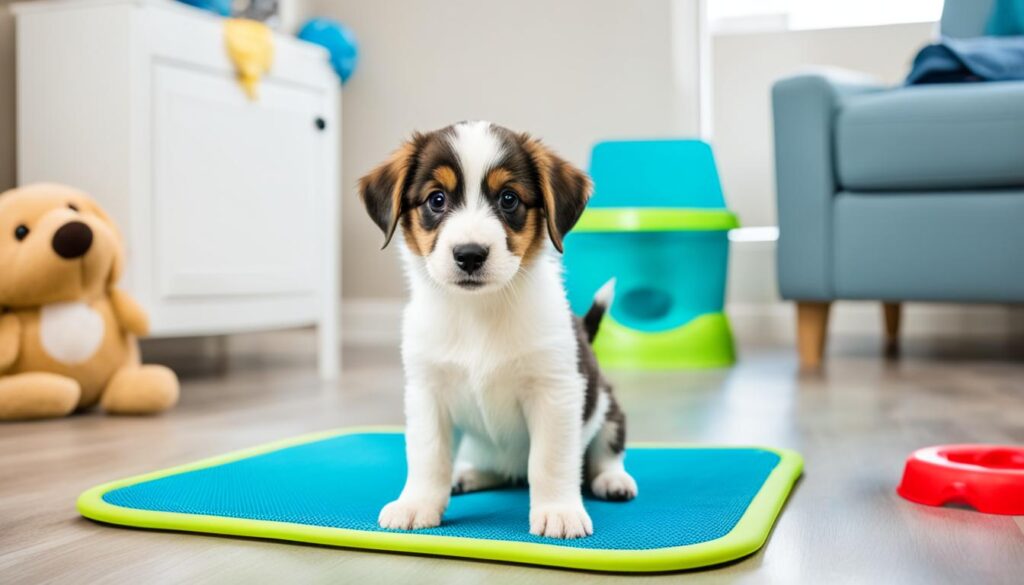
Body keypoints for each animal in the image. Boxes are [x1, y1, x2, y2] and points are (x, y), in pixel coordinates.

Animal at [358, 121, 630, 536]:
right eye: (436, 199)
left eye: (508, 199)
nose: (470, 255)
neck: (478, 313)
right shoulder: (427, 392)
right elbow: (428, 456)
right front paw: (417, 504)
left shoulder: (555, 392)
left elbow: (550, 461)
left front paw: (558, 510)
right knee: (491, 467)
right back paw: (468, 474)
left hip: (606, 405)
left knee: (605, 451)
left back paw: (613, 479)